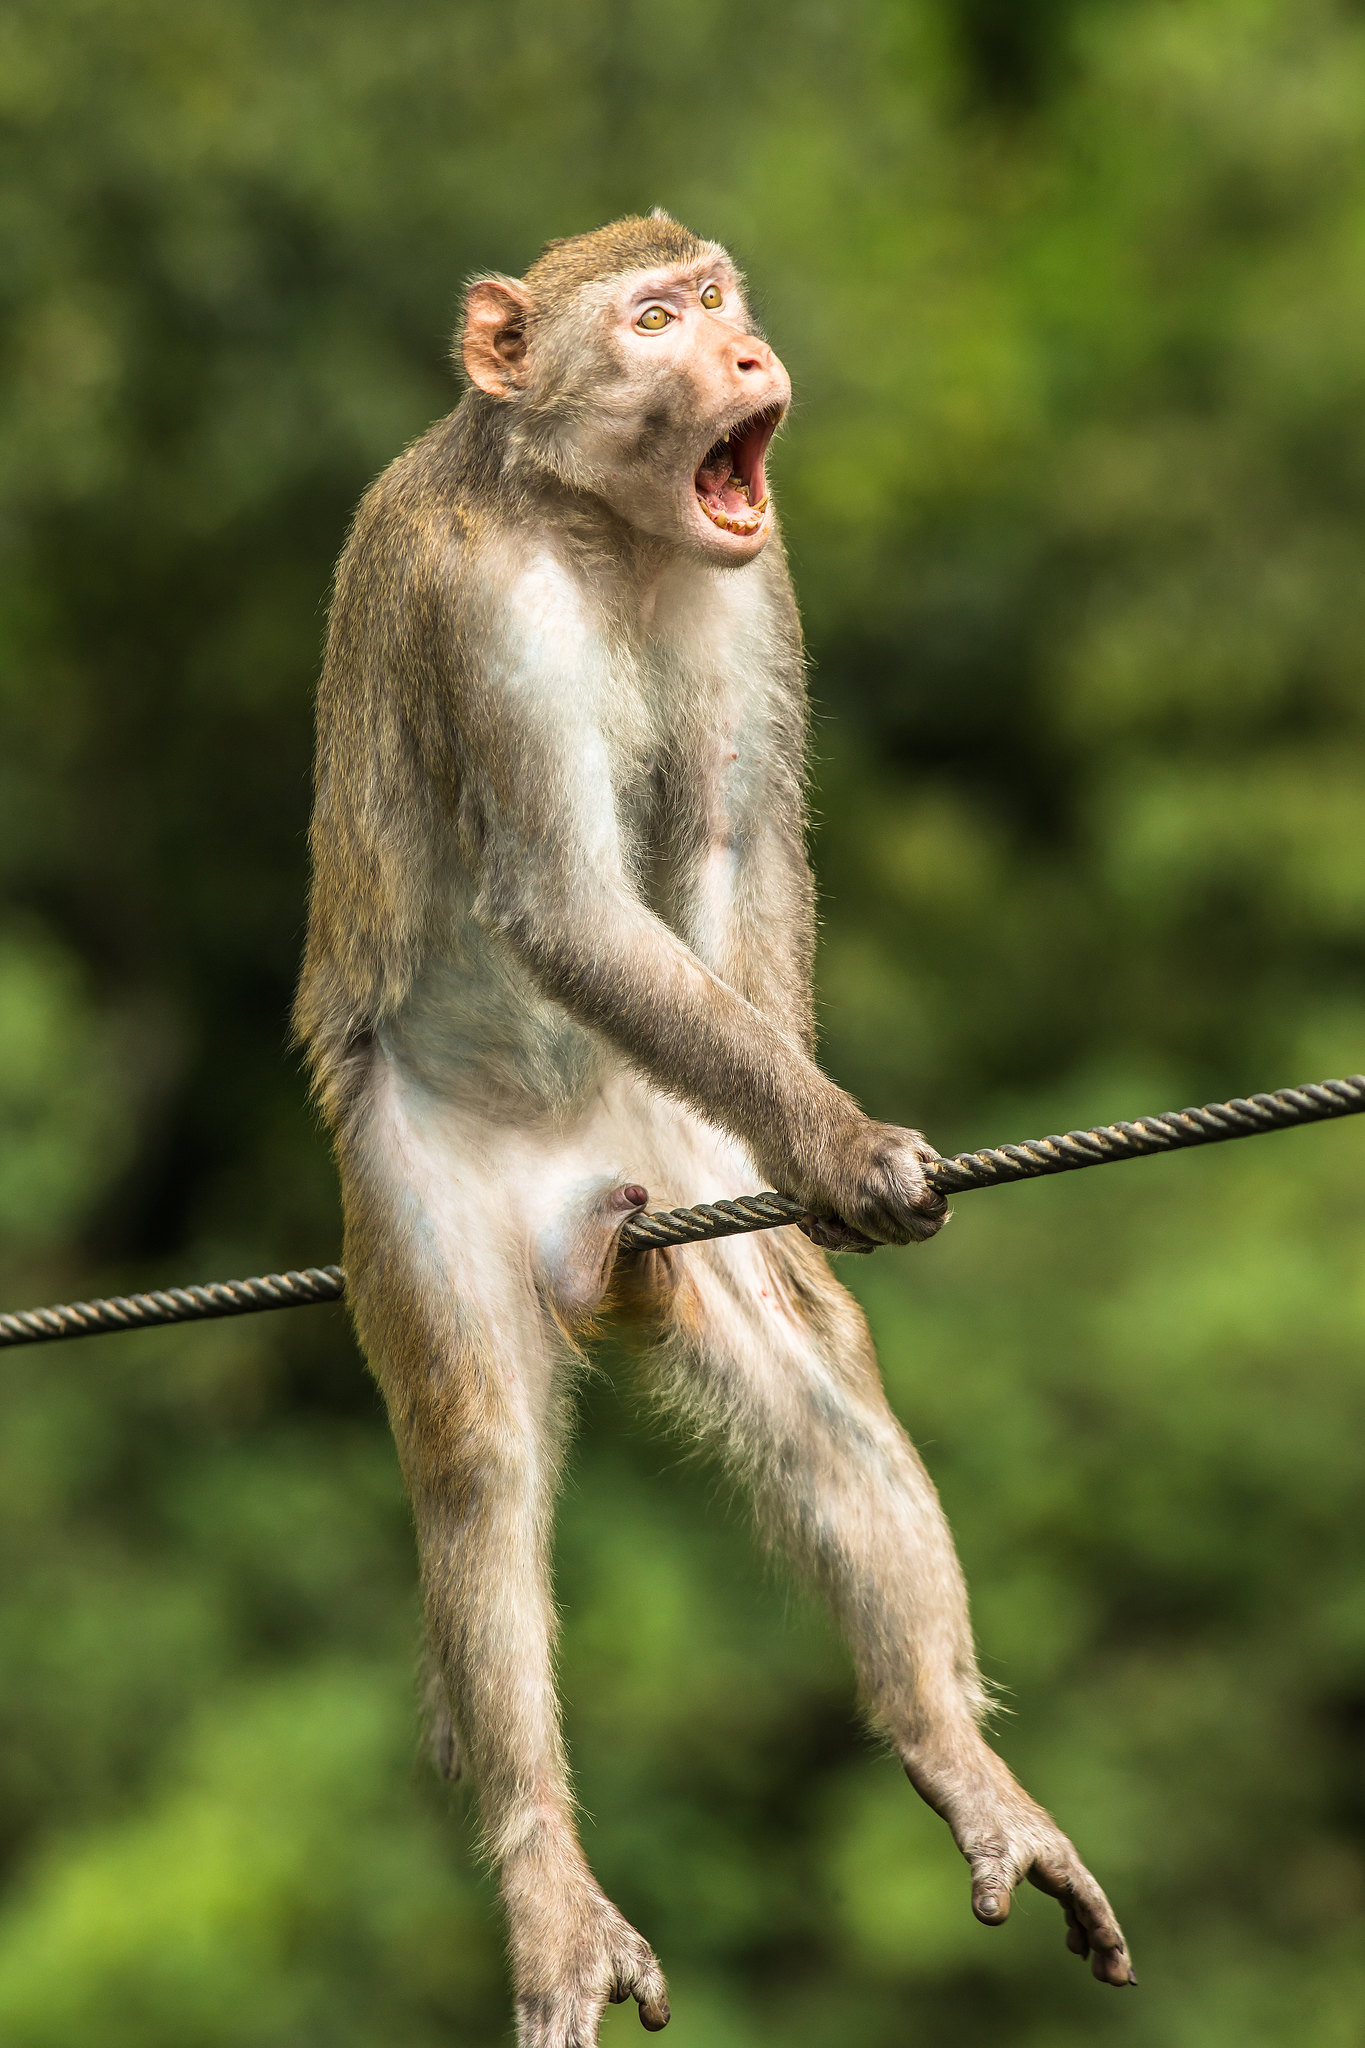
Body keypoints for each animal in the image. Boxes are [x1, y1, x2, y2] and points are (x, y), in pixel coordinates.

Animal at [294, 211, 1135, 2046]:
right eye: (656, 318)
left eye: (722, 300)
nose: (744, 356)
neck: (598, 530)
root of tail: (584, 1216)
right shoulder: (482, 605)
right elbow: (562, 905)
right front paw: (841, 1148)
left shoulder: (760, 579)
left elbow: (742, 841)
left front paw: (813, 1161)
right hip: (416, 1183)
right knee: (477, 1455)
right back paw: (548, 1881)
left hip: (668, 1149)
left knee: (811, 1383)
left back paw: (958, 1762)